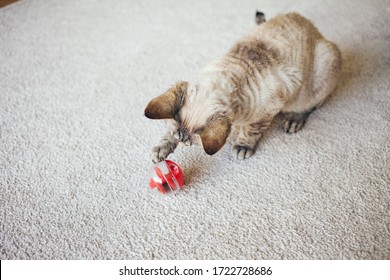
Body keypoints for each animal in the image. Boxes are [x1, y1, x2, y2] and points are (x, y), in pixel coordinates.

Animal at [144, 12, 342, 163]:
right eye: (183, 142)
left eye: (189, 145)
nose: (184, 143)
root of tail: (314, 29)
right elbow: (169, 134)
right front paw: (161, 149)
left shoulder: (266, 112)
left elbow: (250, 131)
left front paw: (242, 146)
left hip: (321, 71)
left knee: (311, 105)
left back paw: (293, 120)